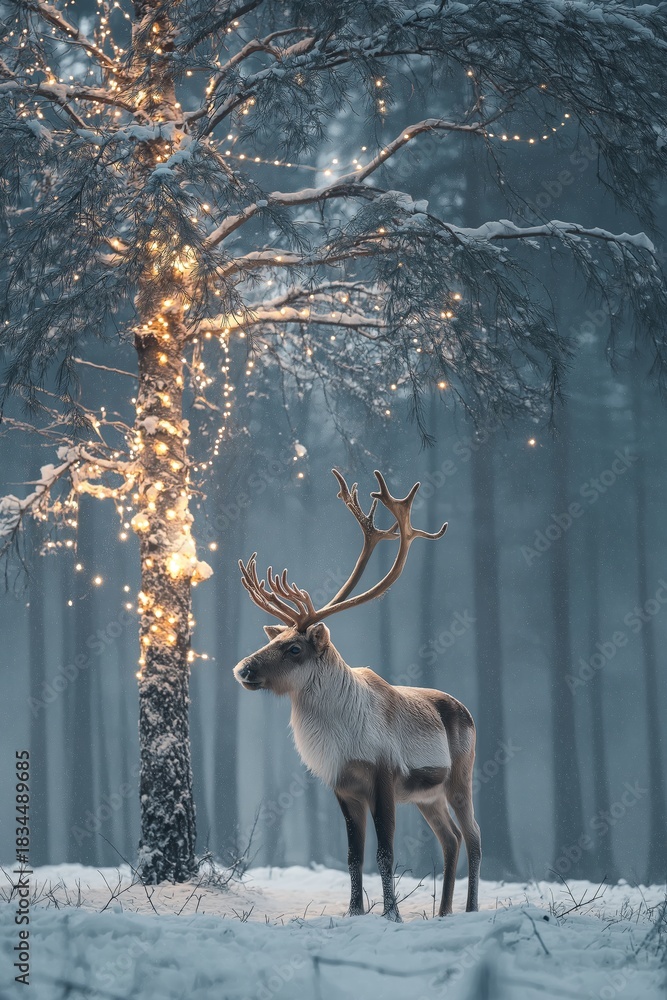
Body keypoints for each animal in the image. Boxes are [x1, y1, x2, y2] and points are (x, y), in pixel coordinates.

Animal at [233, 470, 481, 922]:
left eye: (294, 648)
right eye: (275, 640)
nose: (242, 669)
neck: (338, 736)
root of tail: (466, 709)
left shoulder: (383, 777)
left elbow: (384, 853)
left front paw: (391, 915)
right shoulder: (342, 785)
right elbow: (352, 857)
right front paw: (354, 912)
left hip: (459, 777)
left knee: (472, 836)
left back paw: (469, 909)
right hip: (427, 796)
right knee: (450, 838)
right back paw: (443, 912)